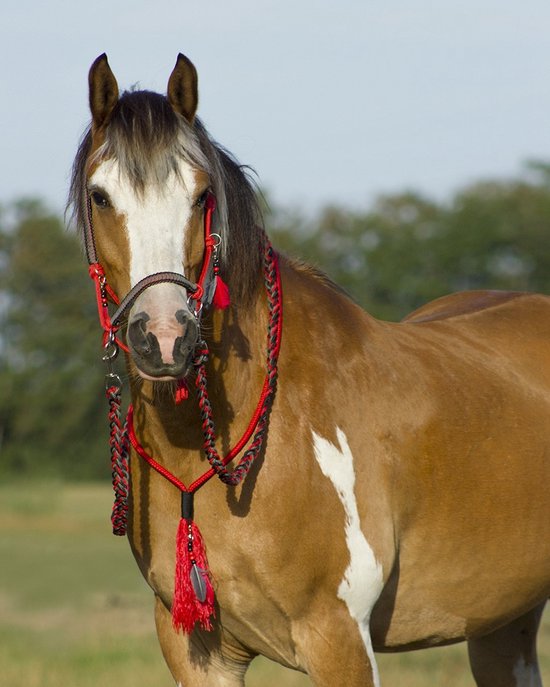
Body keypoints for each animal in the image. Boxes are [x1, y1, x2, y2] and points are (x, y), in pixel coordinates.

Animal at [68, 53, 550, 687]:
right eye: (100, 196)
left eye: (201, 195)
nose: (166, 337)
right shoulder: (199, 652)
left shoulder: (337, 638)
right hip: (502, 622)